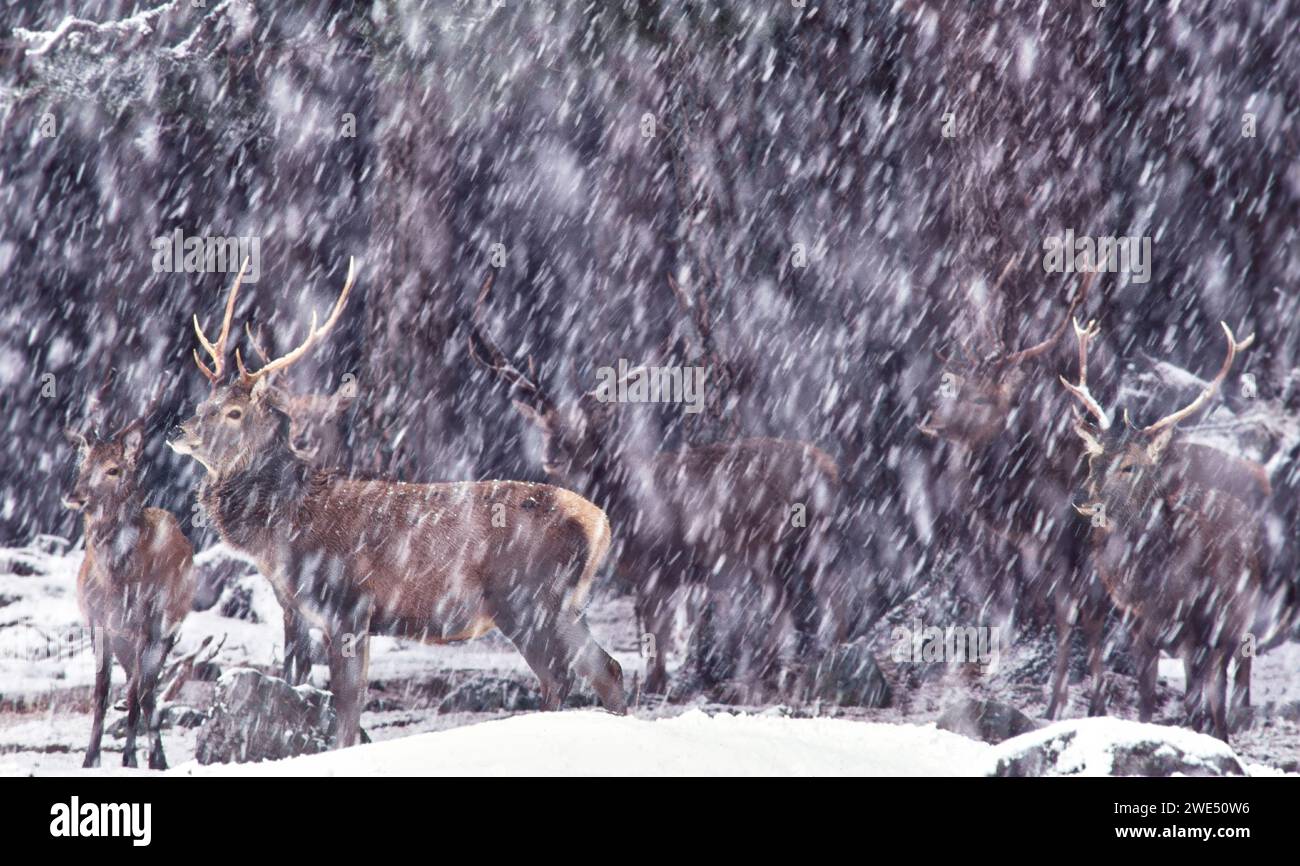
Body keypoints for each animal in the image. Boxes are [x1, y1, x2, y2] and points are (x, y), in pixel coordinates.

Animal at [63, 416, 195, 764]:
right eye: (83, 463)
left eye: (113, 469)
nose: (75, 495)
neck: (116, 581)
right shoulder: (98, 625)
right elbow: (100, 692)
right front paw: (90, 759)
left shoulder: (147, 625)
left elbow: (136, 691)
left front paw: (128, 759)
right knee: (141, 685)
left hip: (167, 629)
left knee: (147, 687)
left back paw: (155, 759)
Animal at [170, 257, 626, 743]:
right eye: (203, 404)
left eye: (234, 412)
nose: (177, 429)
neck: (283, 529)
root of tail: (599, 523)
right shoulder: (294, 608)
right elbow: (297, 682)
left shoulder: (347, 604)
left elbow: (348, 706)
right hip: (566, 605)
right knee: (608, 669)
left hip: (525, 598)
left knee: (558, 675)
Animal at [470, 273, 842, 696]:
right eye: (545, 424)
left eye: (586, 428)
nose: (553, 455)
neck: (623, 506)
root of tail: (830, 469)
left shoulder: (658, 564)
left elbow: (656, 637)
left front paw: (655, 683)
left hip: (781, 544)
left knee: (817, 604)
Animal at [915, 267, 1107, 712]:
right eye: (953, 386)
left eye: (981, 399)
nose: (929, 418)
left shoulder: (1060, 542)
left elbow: (1067, 614)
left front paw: (1057, 705)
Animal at [1060, 319, 1284, 738]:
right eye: (1092, 458)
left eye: (1129, 465)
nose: (1083, 497)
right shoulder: (1138, 628)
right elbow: (1147, 701)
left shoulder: (1199, 628)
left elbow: (1190, 704)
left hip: (1231, 621)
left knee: (1224, 689)